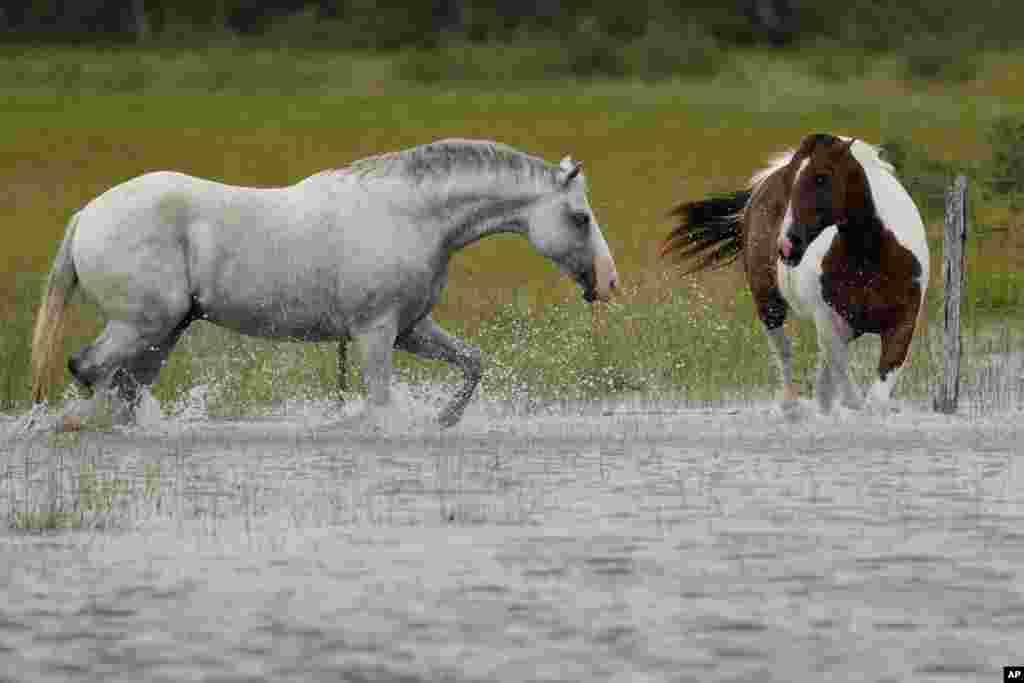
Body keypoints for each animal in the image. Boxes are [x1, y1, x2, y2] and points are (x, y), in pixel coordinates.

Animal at [34, 138, 614, 428]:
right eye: (581, 217)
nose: (607, 282)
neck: (414, 215)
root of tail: (89, 213)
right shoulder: (375, 334)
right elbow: (380, 406)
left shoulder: (411, 330)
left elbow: (473, 363)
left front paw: (445, 419)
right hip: (141, 325)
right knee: (90, 370)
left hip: (163, 333)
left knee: (124, 388)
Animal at [659, 132, 933, 413]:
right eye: (790, 183)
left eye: (821, 177)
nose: (787, 246)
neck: (871, 257)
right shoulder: (829, 321)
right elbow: (846, 388)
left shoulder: (902, 325)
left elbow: (873, 398)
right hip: (769, 305)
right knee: (784, 353)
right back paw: (791, 407)